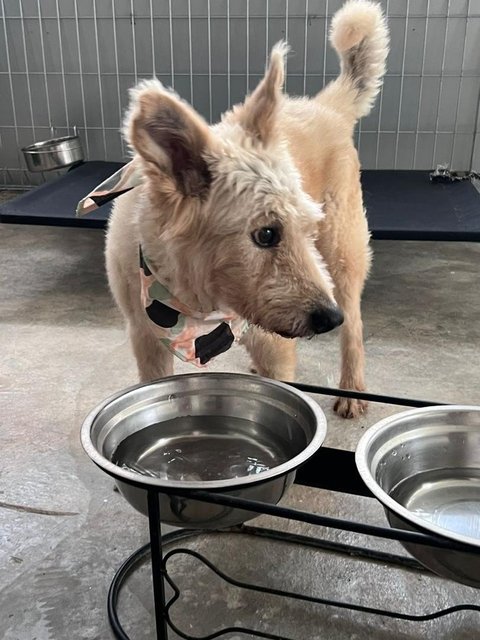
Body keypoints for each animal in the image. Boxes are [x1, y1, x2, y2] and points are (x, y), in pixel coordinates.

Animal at [105, 0, 390, 418]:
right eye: (267, 234)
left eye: (306, 229)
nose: (328, 318)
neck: (192, 300)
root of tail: (323, 107)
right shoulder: (145, 338)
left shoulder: (274, 345)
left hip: (343, 256)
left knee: (355, 325)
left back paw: (352, 387)